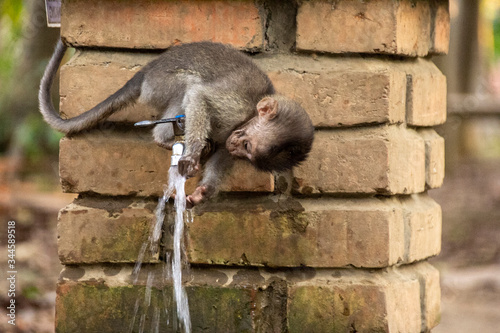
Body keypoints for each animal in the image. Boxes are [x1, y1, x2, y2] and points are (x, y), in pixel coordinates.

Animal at [39, 39, 314, 205]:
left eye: (247, 156)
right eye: (247, 146)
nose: (237, 148)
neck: (249, 114)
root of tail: (146, 72)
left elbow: (223, 154)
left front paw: (205, 191)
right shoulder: (236, 106)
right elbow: (199, 95)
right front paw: (193, 152)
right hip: (159, 86)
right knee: (189, 84)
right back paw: (166, 139)